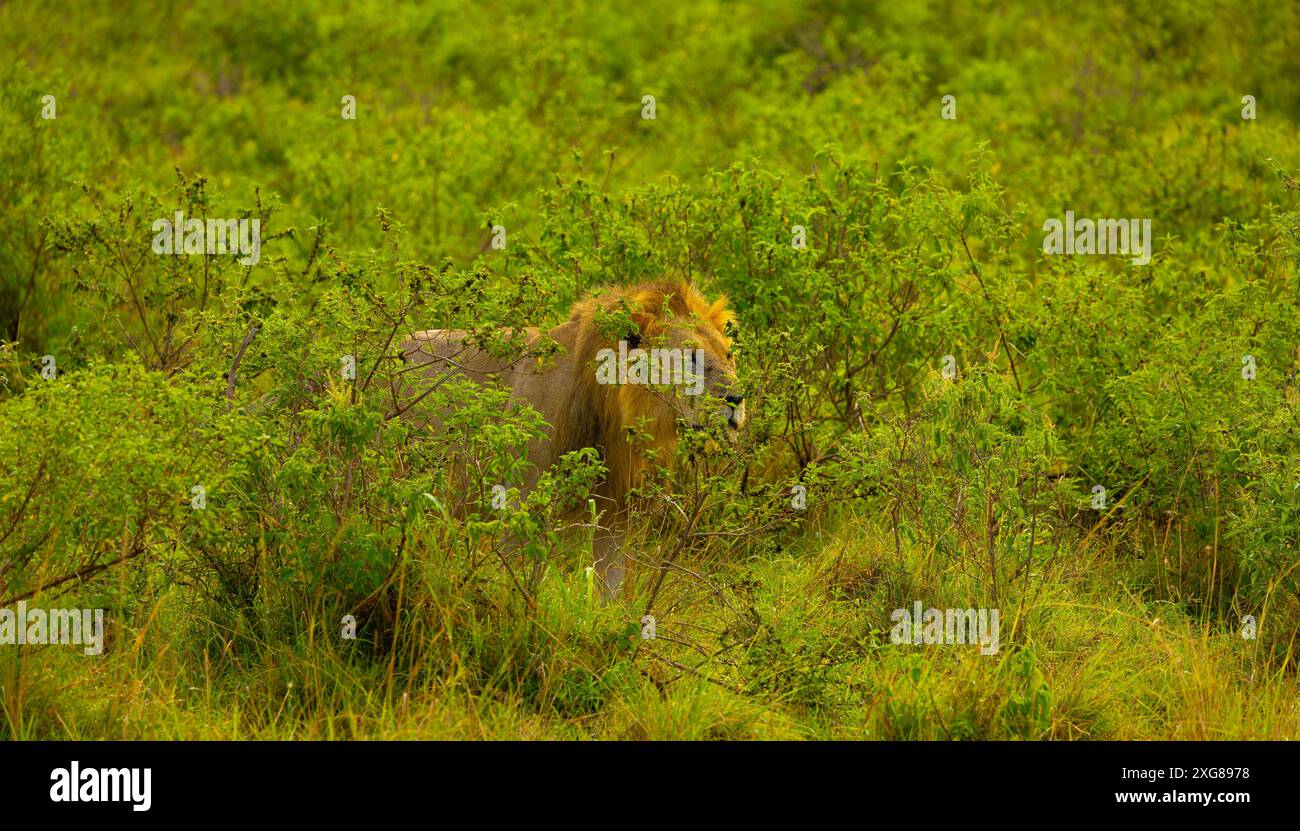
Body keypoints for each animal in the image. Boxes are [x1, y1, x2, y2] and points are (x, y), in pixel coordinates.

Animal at [399, 280, 744, 596]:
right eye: (691, 358)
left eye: (728, 355)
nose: (737, 398)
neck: (612, 416)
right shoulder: (522, 502)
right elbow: (517, 573)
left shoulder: (616, 515)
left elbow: (611, 587)